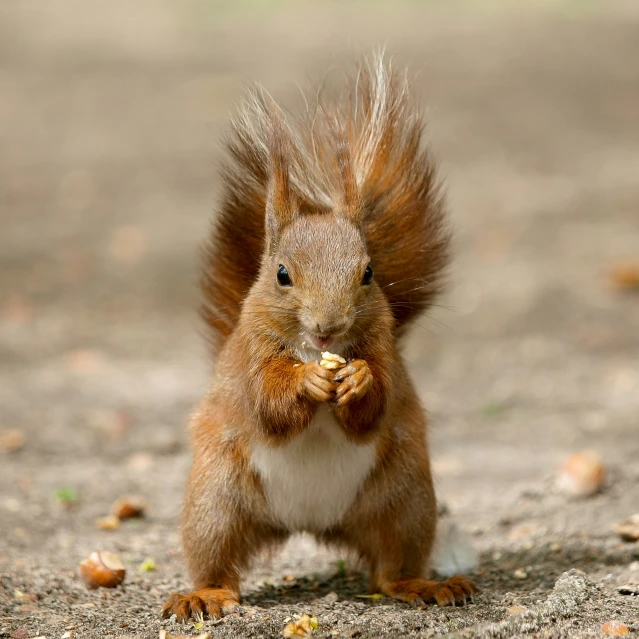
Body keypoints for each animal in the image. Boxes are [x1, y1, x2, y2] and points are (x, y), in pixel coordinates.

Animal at [162, 57, 478, 624]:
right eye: (282, 274)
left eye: (369, 273)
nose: (328, 327)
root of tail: (309, 523)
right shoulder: (249, 356)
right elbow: (268, 404)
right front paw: (307, 381)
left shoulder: (384, 347)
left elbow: (373, 406)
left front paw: (357, 379)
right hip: (215, 501)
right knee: (217, 562)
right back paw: (204, 595)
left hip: (407, 501)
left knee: (391, 567)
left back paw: (424, 585)